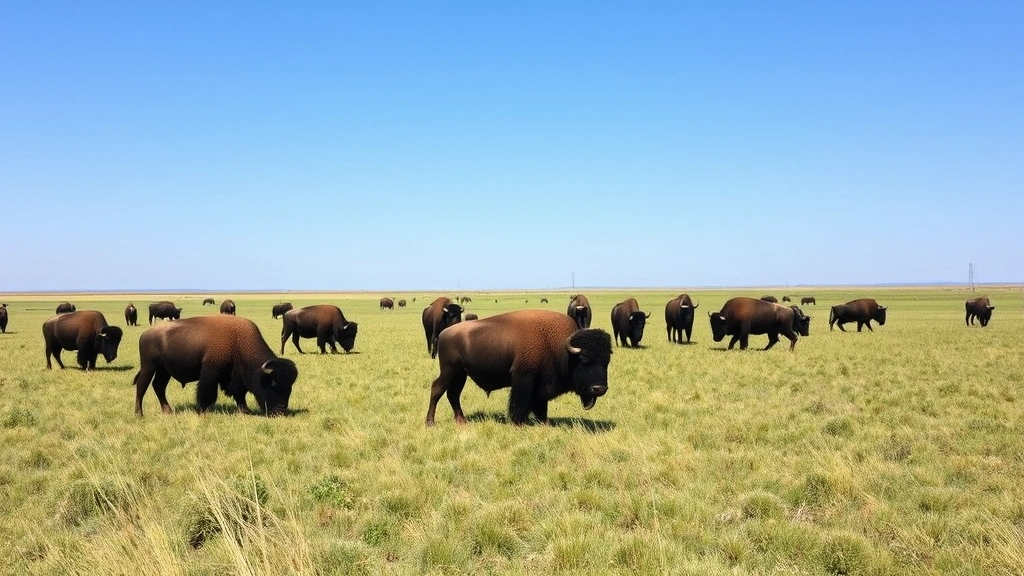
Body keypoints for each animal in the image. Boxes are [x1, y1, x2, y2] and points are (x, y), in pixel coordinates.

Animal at [133, 315, 298, 417]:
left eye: (290, 387)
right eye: (272, 384)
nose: (280, 411)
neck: (238, 341)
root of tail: (145, 334)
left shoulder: (235, 377)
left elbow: (240, 394)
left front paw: (245, 411)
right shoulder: (211, 373)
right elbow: (207, 393)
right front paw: (202, 412)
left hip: (164, 371)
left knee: (159, 386)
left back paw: (168, 411)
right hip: (149, 367)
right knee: (142, 387)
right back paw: (139, 414)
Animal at [425, 310, 612, 426]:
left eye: (607, 361)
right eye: (583, 359)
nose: (599, 389)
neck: (560, 347)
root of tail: (444, 333)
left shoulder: (540, 386)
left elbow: (540, 405)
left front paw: (544, 422)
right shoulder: (523, 378)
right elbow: (520, 402)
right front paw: (519, 423)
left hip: (460, 374)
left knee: (453, 394)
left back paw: (461, 421)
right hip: (449, 370)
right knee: (437, 389)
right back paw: (430, 422)